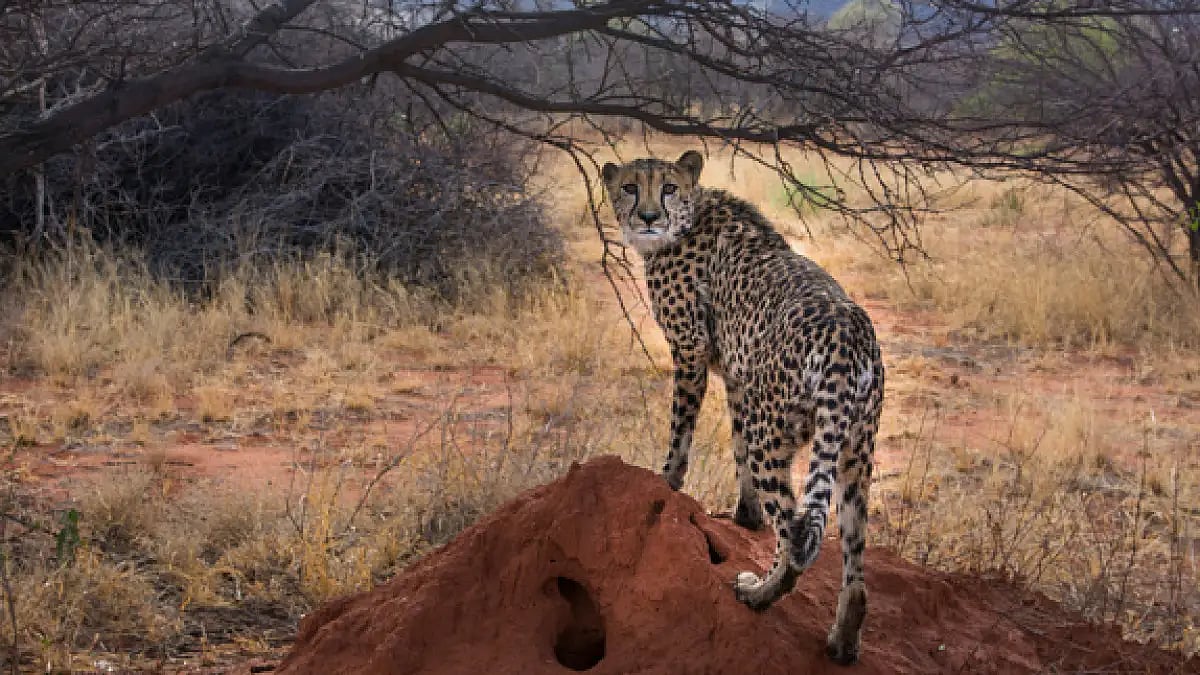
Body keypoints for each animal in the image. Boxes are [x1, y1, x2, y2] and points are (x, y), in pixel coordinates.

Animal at [601, 151, 885, 665]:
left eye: (668, 187)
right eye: (630, 186)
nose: (648, 217)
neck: (690, 216)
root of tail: (848, 327)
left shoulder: (691, 351)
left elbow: (680, 432)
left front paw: (665, 481)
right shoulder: (739, 381)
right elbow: (736, 454)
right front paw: (744, 515)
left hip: (773, 433)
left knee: (795, 533)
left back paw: (757, 593)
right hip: (853, 451)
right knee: (853, 565)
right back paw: (842, 641)